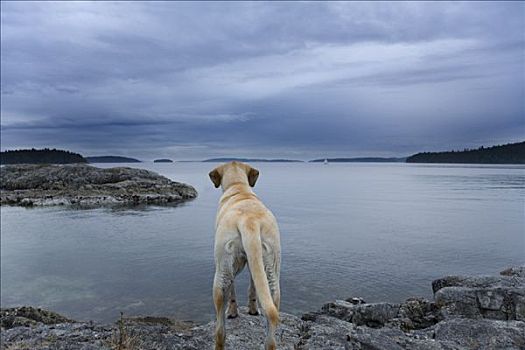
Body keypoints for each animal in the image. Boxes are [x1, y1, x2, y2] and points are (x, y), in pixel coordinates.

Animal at [207, 162, 280, 350]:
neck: (239, 187)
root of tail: (249, 221)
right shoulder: (254, 261)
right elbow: (254, 286)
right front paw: (253, 309)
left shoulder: (229, 267)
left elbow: (232, 291)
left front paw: (233, 312)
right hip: (272, 267)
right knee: (271, 328)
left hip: (220, 275)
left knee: (220, 331)